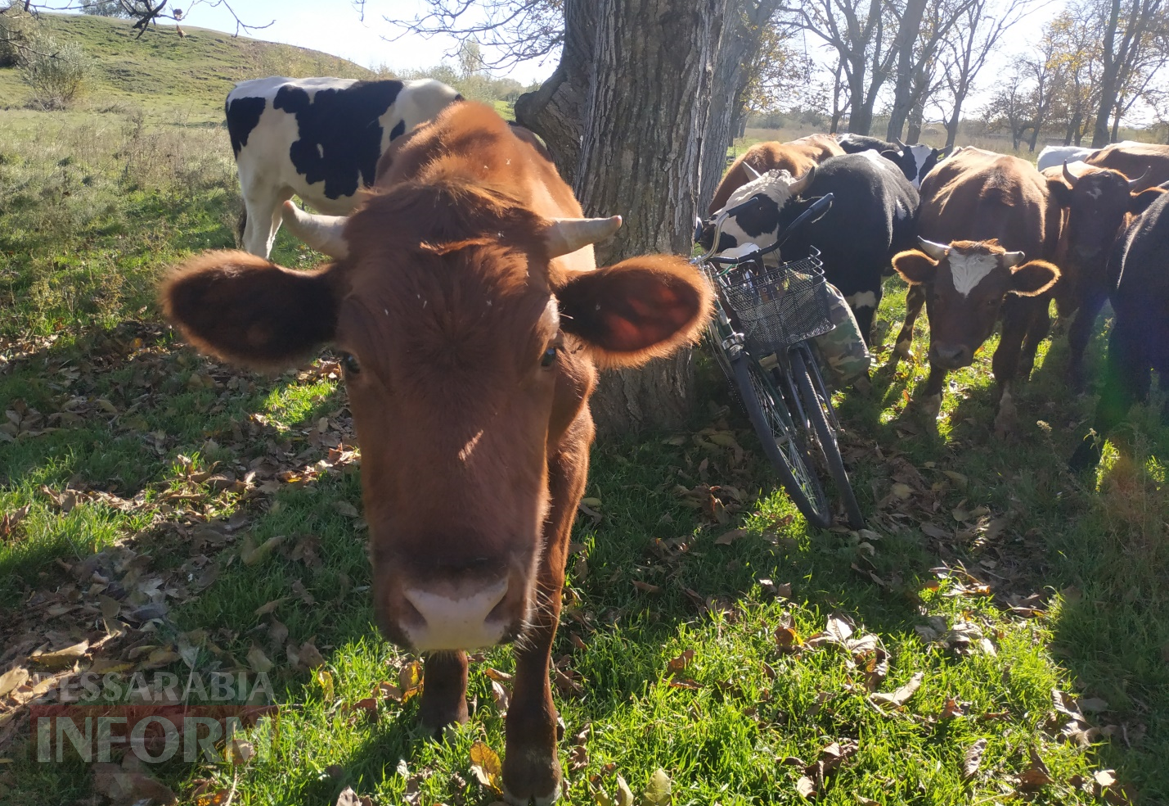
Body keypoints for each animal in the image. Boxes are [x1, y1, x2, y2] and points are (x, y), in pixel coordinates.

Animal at [159, 102, 706, 804]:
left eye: (549, 351)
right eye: (349, 359)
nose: (457, 608)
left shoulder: (573, 445)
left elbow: (548, 593)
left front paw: (533, 755)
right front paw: (445, 697)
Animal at [1048, 161, 1165, 388]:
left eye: (1118, 212)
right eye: (1077, 206)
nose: (1086, 254)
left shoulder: (1095, 295)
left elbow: (1080, 332)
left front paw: (1074, 375)